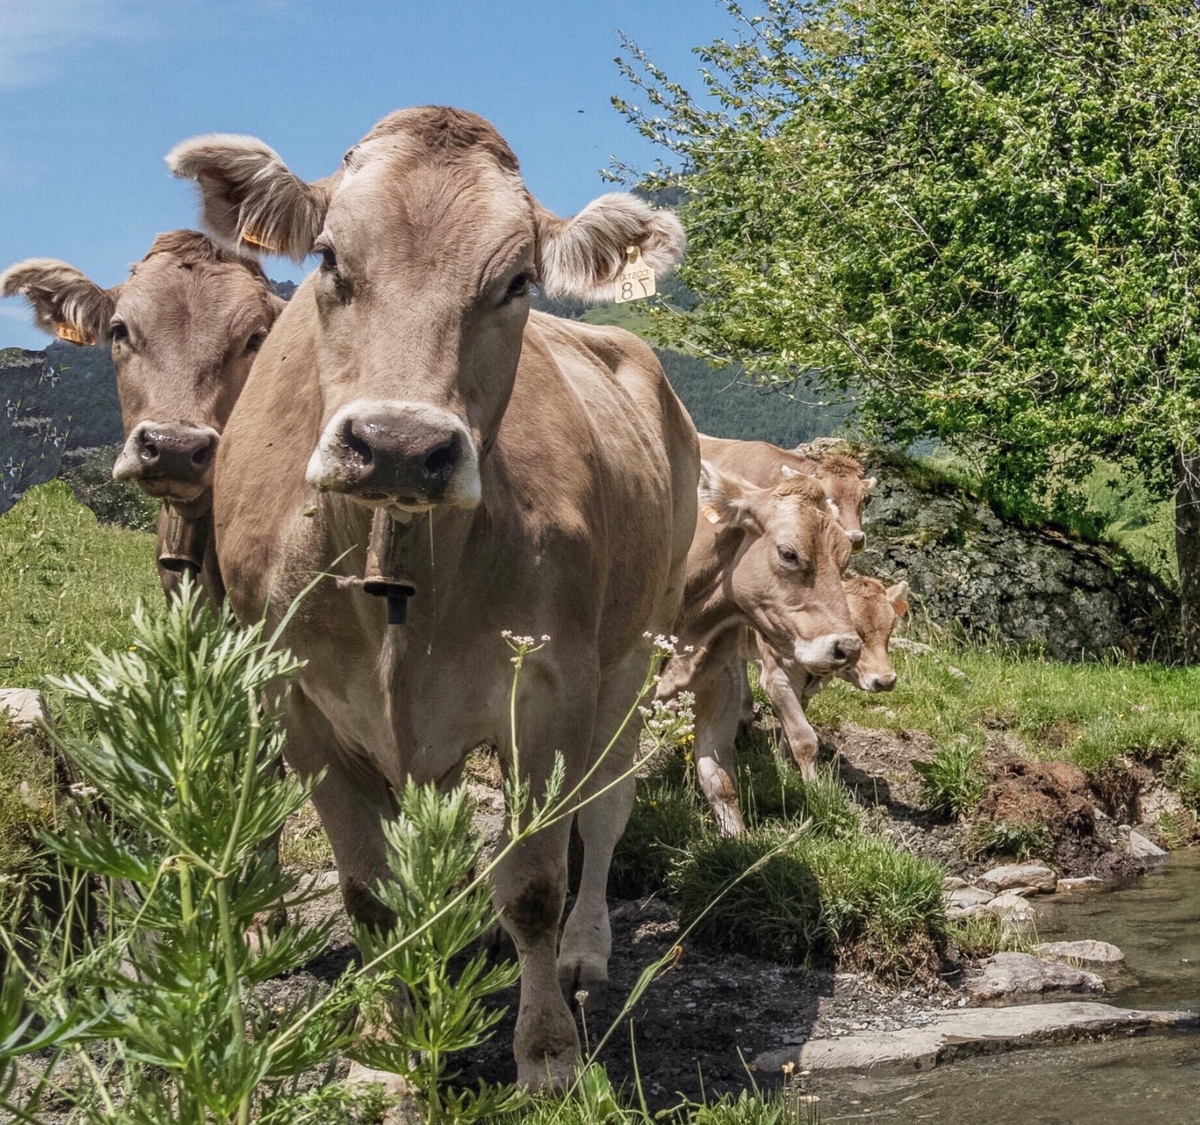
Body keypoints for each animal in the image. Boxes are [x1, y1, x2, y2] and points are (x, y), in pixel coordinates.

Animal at [164, 107, 700, 1089]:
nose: (400, 444)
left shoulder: (549, 692)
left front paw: (548, 1054)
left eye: (518, 280)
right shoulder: (300, 704)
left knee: (604, 809)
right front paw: (386, 1038)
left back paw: (585, 949)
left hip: (637, 649)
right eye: (329, 255)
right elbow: (368, 893)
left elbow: (533, 885)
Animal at [657, 455, 864, 834]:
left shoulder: (721, 681)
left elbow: (720, 780)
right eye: (788, 554)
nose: (847, 648)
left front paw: (736, 840)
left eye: (844, 561)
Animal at [748, 570, 907, 781]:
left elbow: (790, 730)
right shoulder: (777, 678)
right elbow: (804, 738)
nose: (886, 680)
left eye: (889, 631)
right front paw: (811, 785)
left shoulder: (802, 689)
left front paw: (784, 766)